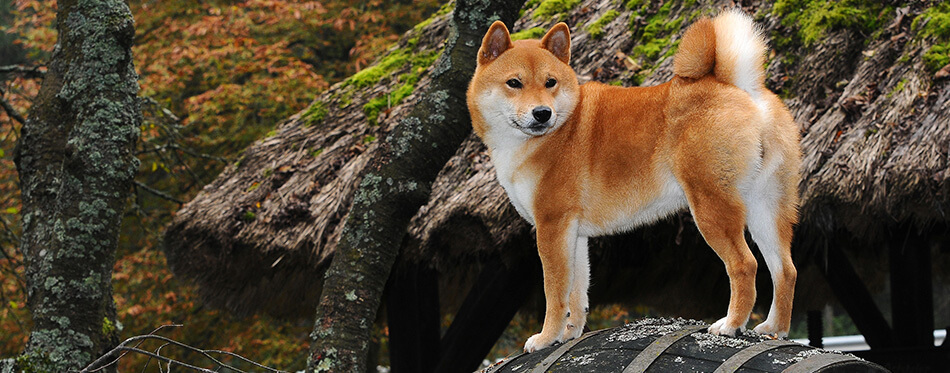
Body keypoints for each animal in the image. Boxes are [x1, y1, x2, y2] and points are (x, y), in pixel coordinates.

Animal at [468, 9, 804, 352]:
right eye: (514, 83)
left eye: (550, 82)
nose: (542, 113)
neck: (556, 131)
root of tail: (740, 89)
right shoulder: (573, 234)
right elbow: (576, 292)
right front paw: (569, 334)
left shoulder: (552, 226)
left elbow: (555, 292)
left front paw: (546, 338)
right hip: (765, 208)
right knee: (785, 270)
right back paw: (775, 329)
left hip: (712, 207)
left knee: (745, 265)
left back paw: (731, 325)